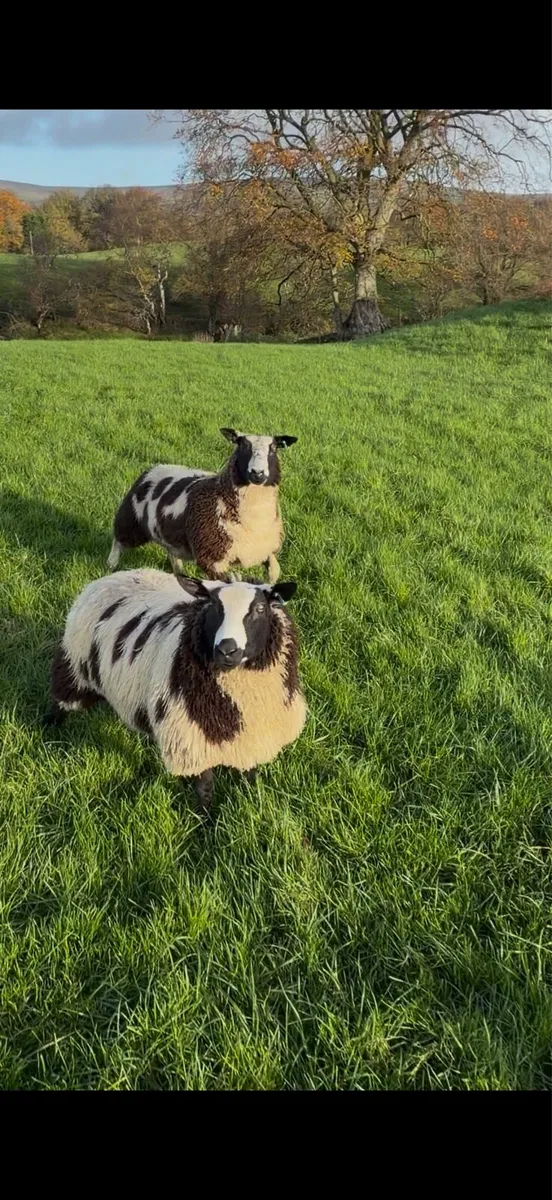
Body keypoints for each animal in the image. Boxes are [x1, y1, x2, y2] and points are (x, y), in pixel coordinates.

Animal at [45, 568, 307, 811]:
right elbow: (204, 787)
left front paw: (253, 801)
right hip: (76, 669)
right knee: (60, 701)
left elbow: (250, 773)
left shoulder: (254, 733)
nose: (226, 650)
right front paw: (204, 821)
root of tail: (112, 577)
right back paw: (49, 730)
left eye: (260, 609)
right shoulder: (190, 737)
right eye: (213, 606)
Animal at [107, 428, 298, 585]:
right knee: (119, 538)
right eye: (242, 446)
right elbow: (229, 581)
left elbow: (274, 572)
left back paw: (179, 573)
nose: (257, 473)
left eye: (274, 449)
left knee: (172, 553)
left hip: (170, 535)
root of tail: (153, 469)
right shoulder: (211, 558)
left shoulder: (264, 549)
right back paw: (111, 564)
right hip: (132, 519)